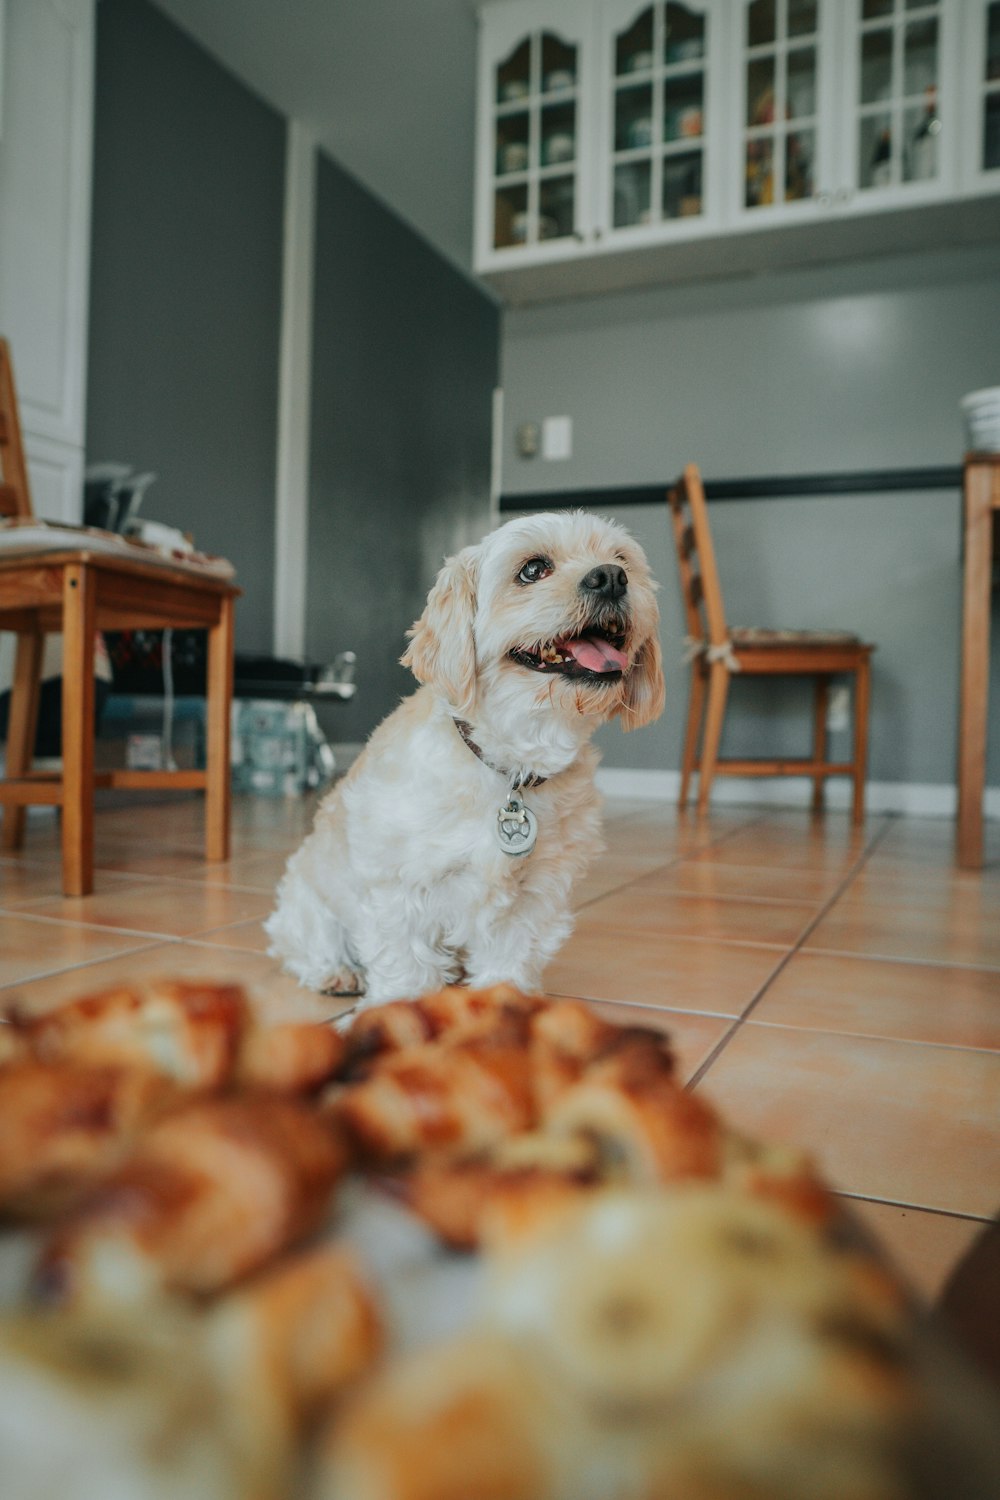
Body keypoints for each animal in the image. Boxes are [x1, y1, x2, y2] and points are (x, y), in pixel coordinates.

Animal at [263, 510, 665, 1014]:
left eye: (621, 559)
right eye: (533, 569)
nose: (611, 577)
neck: (509, 764)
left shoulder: (536, 893)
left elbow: (511, 958)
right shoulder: (399, 888)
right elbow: (404, 963)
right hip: (309, 903)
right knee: (305, 946)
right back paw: (336, 971)